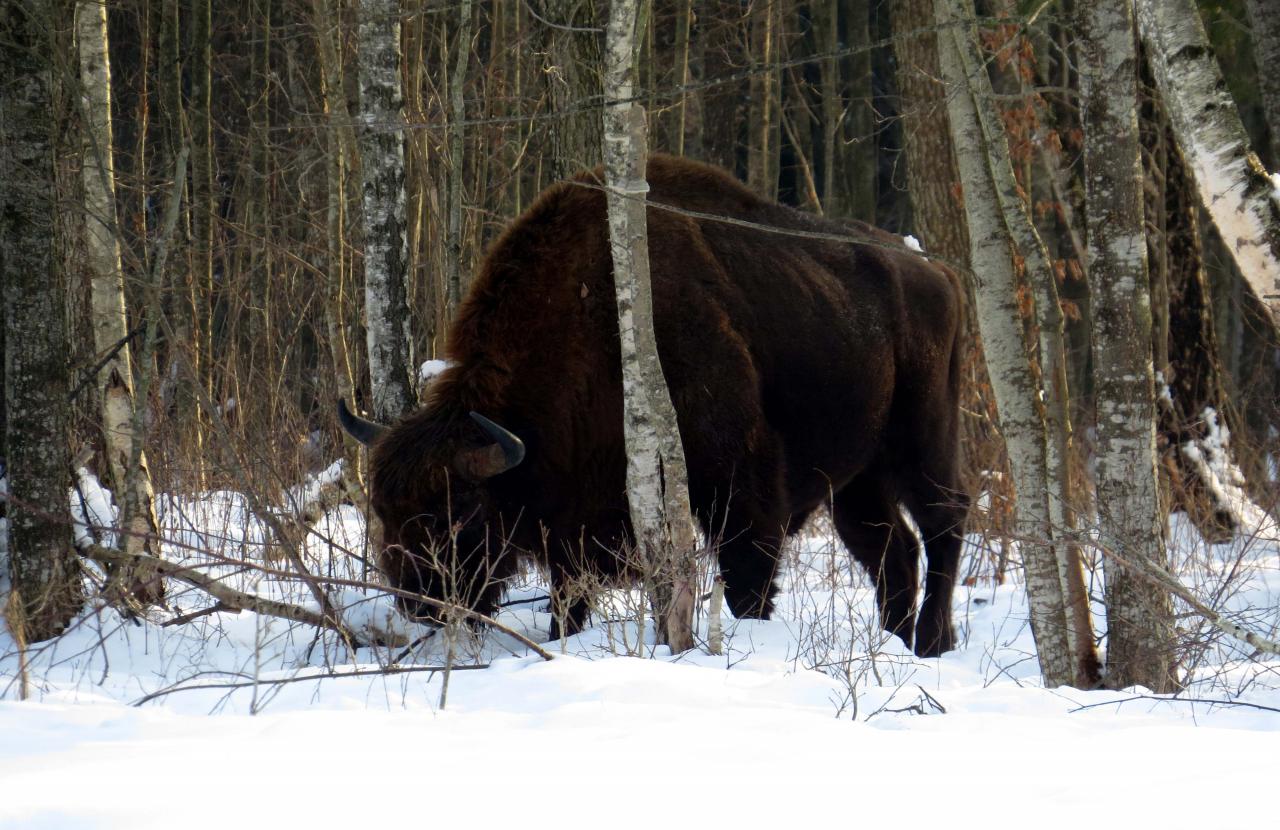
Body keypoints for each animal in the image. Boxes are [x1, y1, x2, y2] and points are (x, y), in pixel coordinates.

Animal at [343, 153, 967, 655]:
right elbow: (568, 601)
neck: (588, 318)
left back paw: (933, 642)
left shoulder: (741, 486)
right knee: (893, 550)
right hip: (858, 479)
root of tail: (936, 270)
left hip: (922, 441)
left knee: (945, 521)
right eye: (383, 510)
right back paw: (896, 639)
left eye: (459, 515)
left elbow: (747, 579)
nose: (418, 601)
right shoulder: (573, 523)